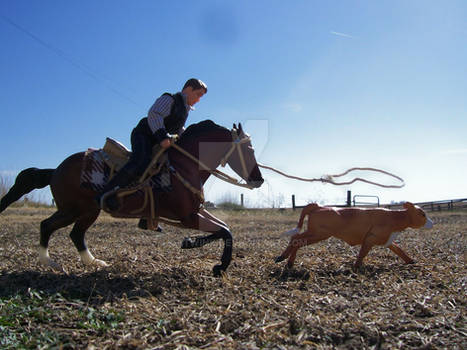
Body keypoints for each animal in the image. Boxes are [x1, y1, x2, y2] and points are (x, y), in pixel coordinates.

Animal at [0, 120, 264, 276]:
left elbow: (225, 229)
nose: (259, 179)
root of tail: (56, 170)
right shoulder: (187, 216)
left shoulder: (196, 211)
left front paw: (192, 244)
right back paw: (50, 263)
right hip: (72, 209)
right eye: (248, 149)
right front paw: (217, 265)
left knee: (75, 234)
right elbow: (224, 231)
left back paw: (93, 263)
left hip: (87, 212)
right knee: (47, 226)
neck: (183, 165)